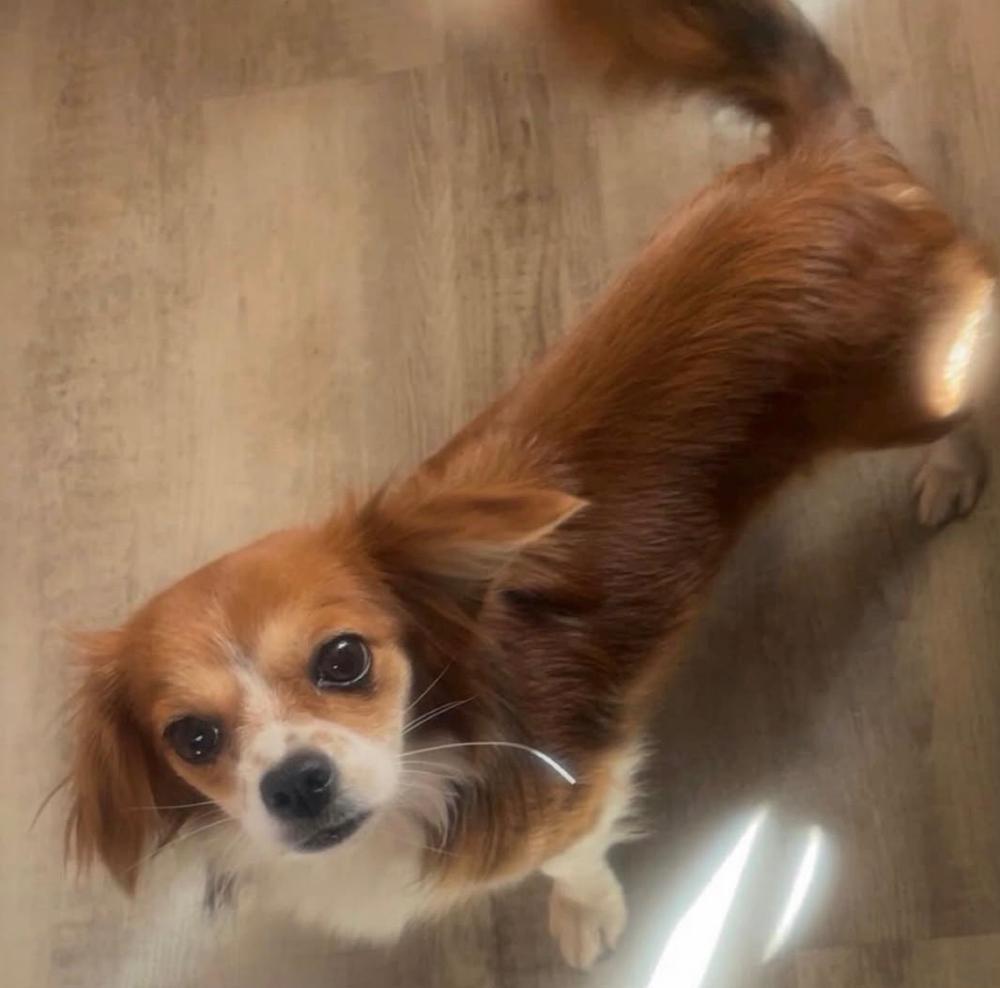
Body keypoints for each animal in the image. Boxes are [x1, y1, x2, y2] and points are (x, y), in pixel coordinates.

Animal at [65, 0, 993, 971]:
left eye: (345, 658)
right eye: (193, 737)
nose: (296, 783)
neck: (428, 763)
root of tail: (823, 152)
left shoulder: (579, 792)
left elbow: (572, 863)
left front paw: (587, 917)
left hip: (905, 391)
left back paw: (952, 468)